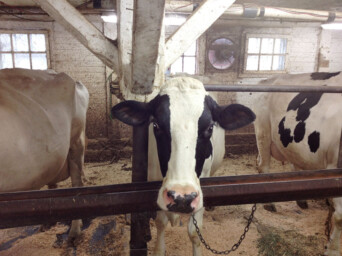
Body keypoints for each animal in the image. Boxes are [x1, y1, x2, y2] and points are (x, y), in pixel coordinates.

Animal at [111, 77, 255, 255]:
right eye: (156, 125)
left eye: (210, 127)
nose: (182, 197)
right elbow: (161, 223)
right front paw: (159, 249)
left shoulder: (200, 186)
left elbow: (194, 232)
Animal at [252, 70, 342, 256]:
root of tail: (267, 80)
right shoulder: (334, 167)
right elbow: (340, 216)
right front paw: (333, 249)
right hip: (263, 133)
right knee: (263, 166)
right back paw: (269, 204)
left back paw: (301, 200)